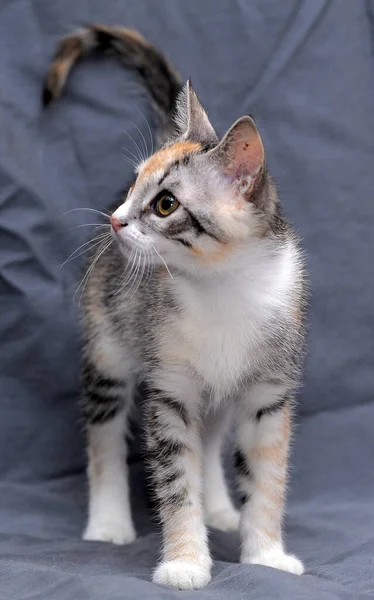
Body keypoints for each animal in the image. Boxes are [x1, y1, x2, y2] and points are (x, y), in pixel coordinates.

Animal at [43, 24, 306, 592]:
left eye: (166, 204)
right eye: (134, 184)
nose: (116, 219)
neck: (223, 288)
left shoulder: (268, 393)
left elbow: (267, 478)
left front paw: (267, 555)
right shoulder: (170, 391)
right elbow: (175, 479)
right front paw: (186, 562)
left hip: (218, 393)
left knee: (210, 440)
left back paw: (220, 509)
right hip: (109, 346)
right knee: (103, 434)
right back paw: (108, 522)